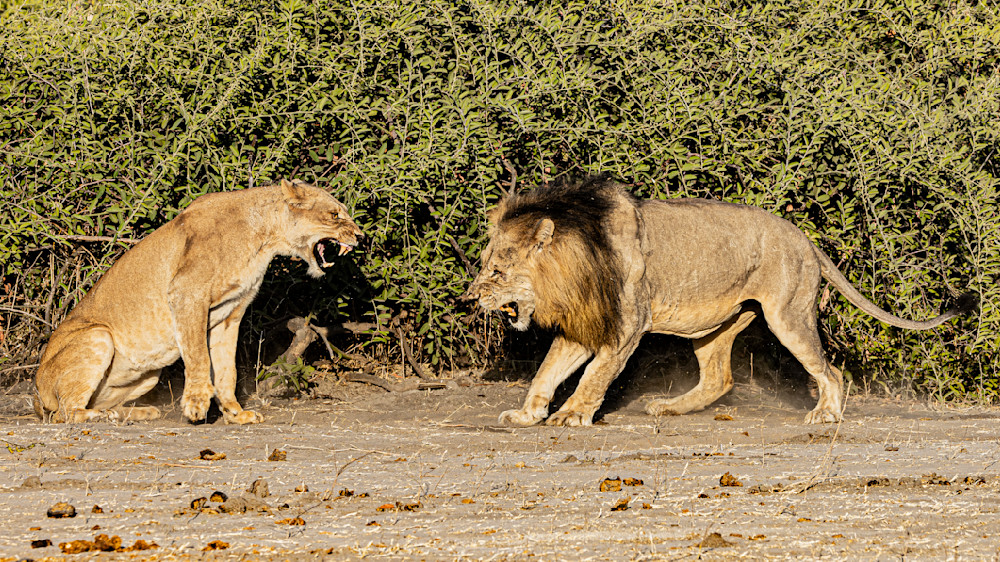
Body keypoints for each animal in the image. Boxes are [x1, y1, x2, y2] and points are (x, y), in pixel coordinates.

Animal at [35, 179, 362, 424]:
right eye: (335, 215)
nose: (360, 236)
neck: (264, 240)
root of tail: (38, 391)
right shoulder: (187, 293)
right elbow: (198, 356)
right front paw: (197, 403)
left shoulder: (231, 314)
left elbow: (227, 369)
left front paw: (235, 414)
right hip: (99, 336)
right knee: (66, 413)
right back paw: (103, 417)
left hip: (148, 376)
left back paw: (135, 412)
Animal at [463, 178, 976, 427]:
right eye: (484, 265)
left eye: (496, 272)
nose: (469, 297)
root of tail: (806, 240)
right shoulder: (584, 328)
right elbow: (546, 372)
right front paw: (527, 415)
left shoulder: (626, 325)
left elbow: (594, 377)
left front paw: (571, 415)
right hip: (715, 324)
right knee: (719, 379)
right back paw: (669, 408)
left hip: (787, 315)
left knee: (830, 371)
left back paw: (826, 414)